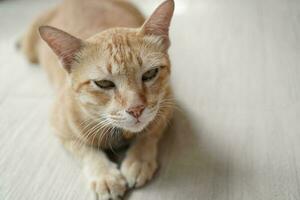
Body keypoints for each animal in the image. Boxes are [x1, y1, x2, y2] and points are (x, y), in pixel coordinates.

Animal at [21, 0, 175, 198]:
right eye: (103, 83)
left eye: (150, 73)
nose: (136, 109)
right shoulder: (61, 129)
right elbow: (86, 150)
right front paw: (105, 176)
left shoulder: (167, 105)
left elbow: (149, 133)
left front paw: (139, 160)